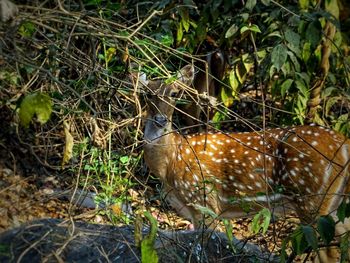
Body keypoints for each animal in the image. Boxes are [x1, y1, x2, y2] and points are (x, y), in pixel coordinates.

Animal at [142, 65, 350, 262]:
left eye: (174, 93)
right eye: (147, 94)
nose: (160, 120)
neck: (170, 163)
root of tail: (343, 142)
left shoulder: (205, 200)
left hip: (311, 197)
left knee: (329, 251)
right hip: (334, 203)